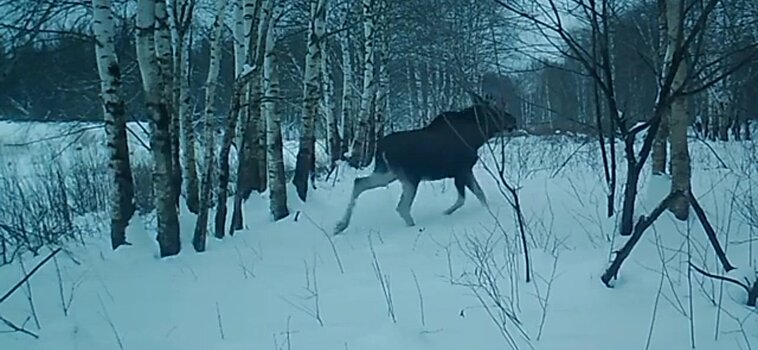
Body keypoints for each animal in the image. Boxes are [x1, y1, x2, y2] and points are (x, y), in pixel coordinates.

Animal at [336, 78, 520, 235]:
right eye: (495, 111)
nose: (514, 119)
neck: (477, 138)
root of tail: (381, 149)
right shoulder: (461, 170)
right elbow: (464, 198)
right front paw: (446, 212)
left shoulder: (464, 171)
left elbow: (480, 194)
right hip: (410, 177)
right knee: (402, 207)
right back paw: (412, 227)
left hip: (387, 173)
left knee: (359, 182)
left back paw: (340, 225)